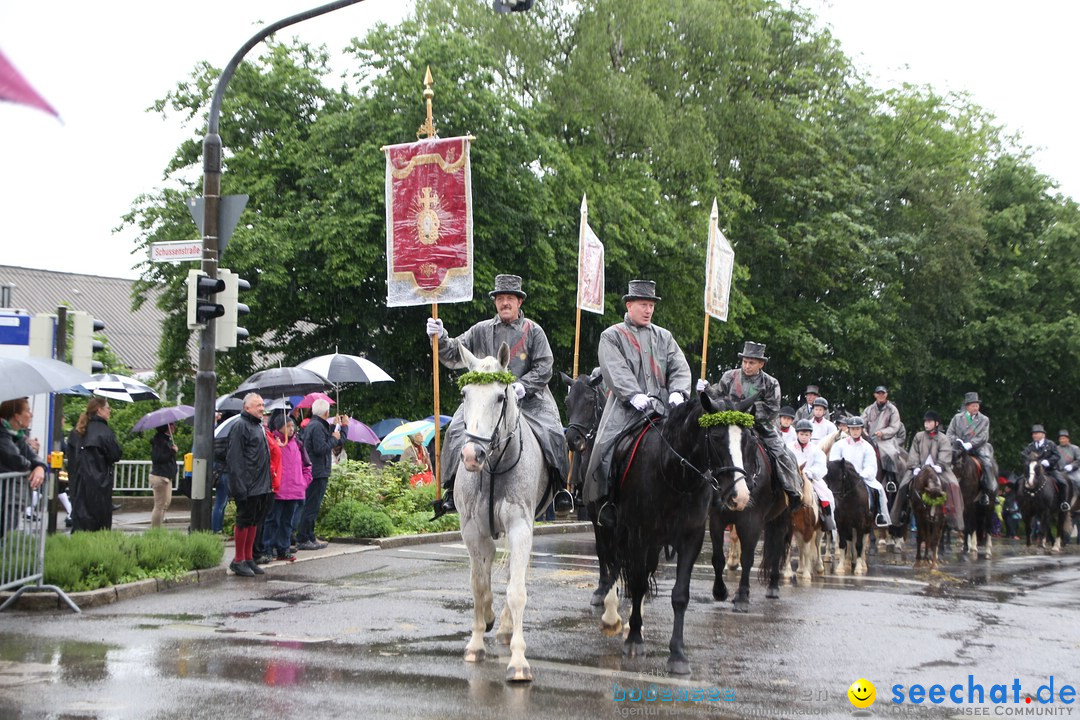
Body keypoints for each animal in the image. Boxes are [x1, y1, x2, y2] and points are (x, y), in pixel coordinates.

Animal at [453, 343, 548, 682]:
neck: (493, 467)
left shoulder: (521, 526)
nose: (472, 455)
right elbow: (479, 588)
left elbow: (516, 591)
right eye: (464, 394)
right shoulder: (472, 530)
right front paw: (475, 643)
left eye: (499, 397)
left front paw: (518, 661)